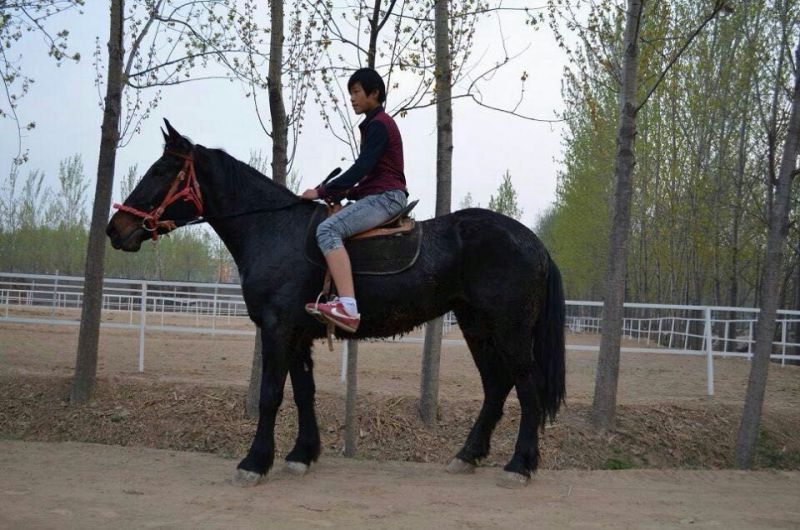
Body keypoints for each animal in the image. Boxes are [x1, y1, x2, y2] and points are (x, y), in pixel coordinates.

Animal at [106, 120, 566, 488]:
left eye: (161, 170)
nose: (115, 229)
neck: (274, 228)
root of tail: (532, 241)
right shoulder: (297, 334)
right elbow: (303, 392)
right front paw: (301, 455)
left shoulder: (277, 329)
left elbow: (272, 394)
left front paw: (254, 462)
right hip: (477, 326)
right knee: (496, 387)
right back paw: (467, 456)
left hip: (508, 329)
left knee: (526, 389)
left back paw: (519, 465)